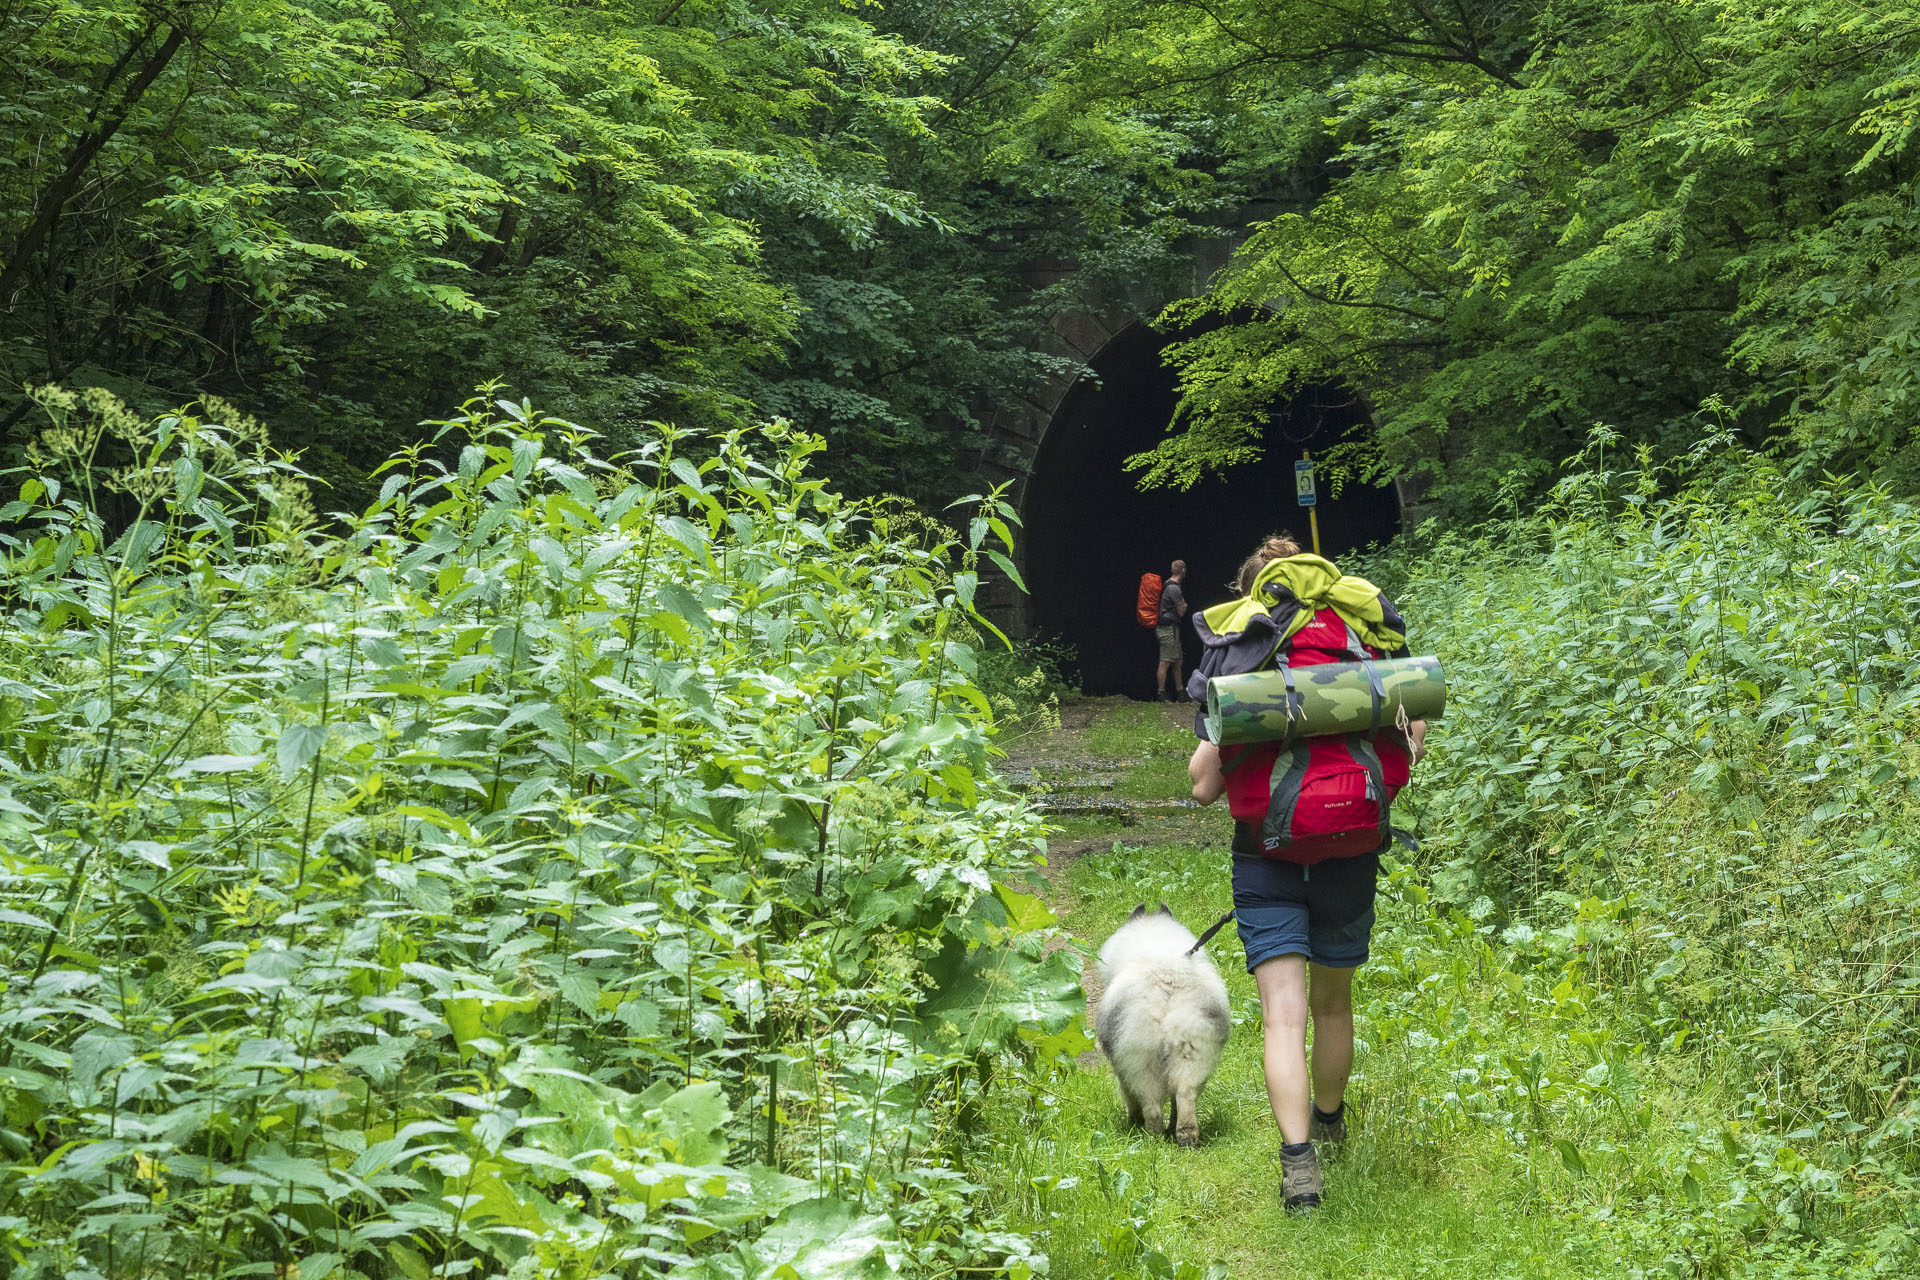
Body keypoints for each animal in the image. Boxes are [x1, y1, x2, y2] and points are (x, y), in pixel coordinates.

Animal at [1098, 905, 1228, 1143]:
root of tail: (1167, 985)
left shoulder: (1122, 1071)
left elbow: (1129, 1098)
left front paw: (1133, 1122)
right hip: (1192, 1053)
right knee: (1184, 1097)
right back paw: (1184, 1136)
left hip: (1141, 1061)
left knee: (1151, 1107)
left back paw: (1152, 1137)